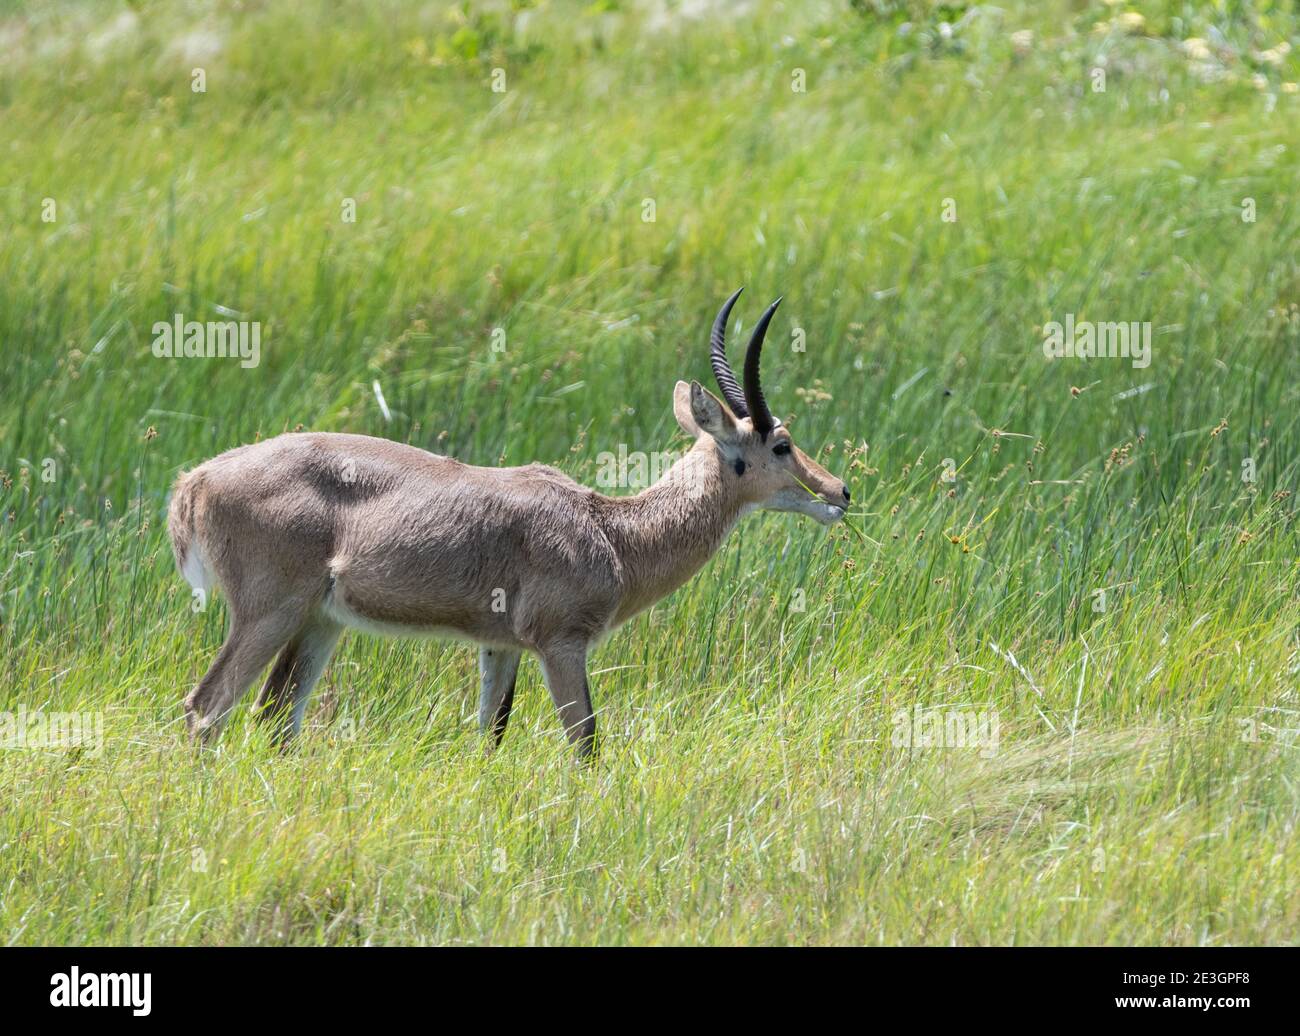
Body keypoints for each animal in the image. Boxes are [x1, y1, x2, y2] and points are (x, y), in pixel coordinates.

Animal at [165, 287, 852, 753]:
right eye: (781, 443)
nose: (839, 491)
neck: (611, 531)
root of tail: (197, 479)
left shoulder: (499, 646)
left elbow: (488, 736)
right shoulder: (561, 643)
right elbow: (586, 742)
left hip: (320, 622)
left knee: (276, 718)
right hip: (269, 614)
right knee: (206, 708)